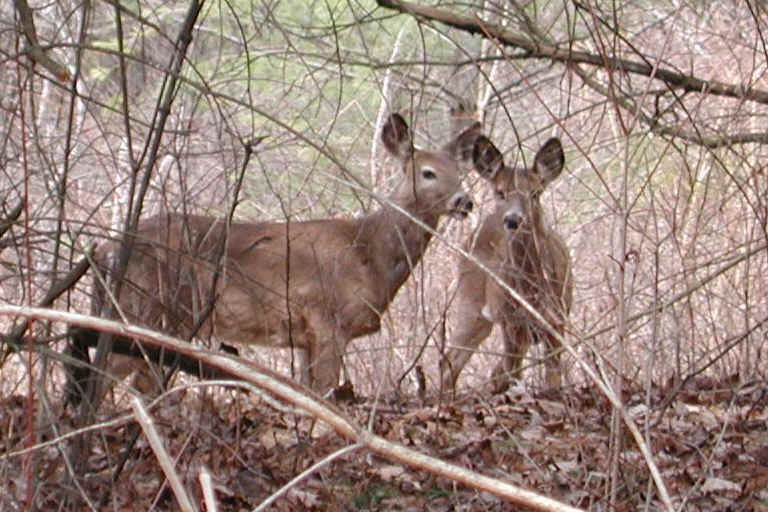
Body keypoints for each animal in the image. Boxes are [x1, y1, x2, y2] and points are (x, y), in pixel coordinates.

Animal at [67, 113, 481, 400]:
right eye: (427, 173)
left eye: (460, 173)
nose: (465, 201)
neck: (368, 253)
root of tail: (103, 250)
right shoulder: (327, 317)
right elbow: (326, 393)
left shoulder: (305, 336)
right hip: (145, 308)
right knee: (106, 376)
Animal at [439, 133, 572, 395]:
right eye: (500, 192)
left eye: (535, 193)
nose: (512, 219)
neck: (532, 289)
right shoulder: (511, 321)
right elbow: (511, 374)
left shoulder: (557, 318)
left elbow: (552, 378)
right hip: (472, 303)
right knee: (450, 360)